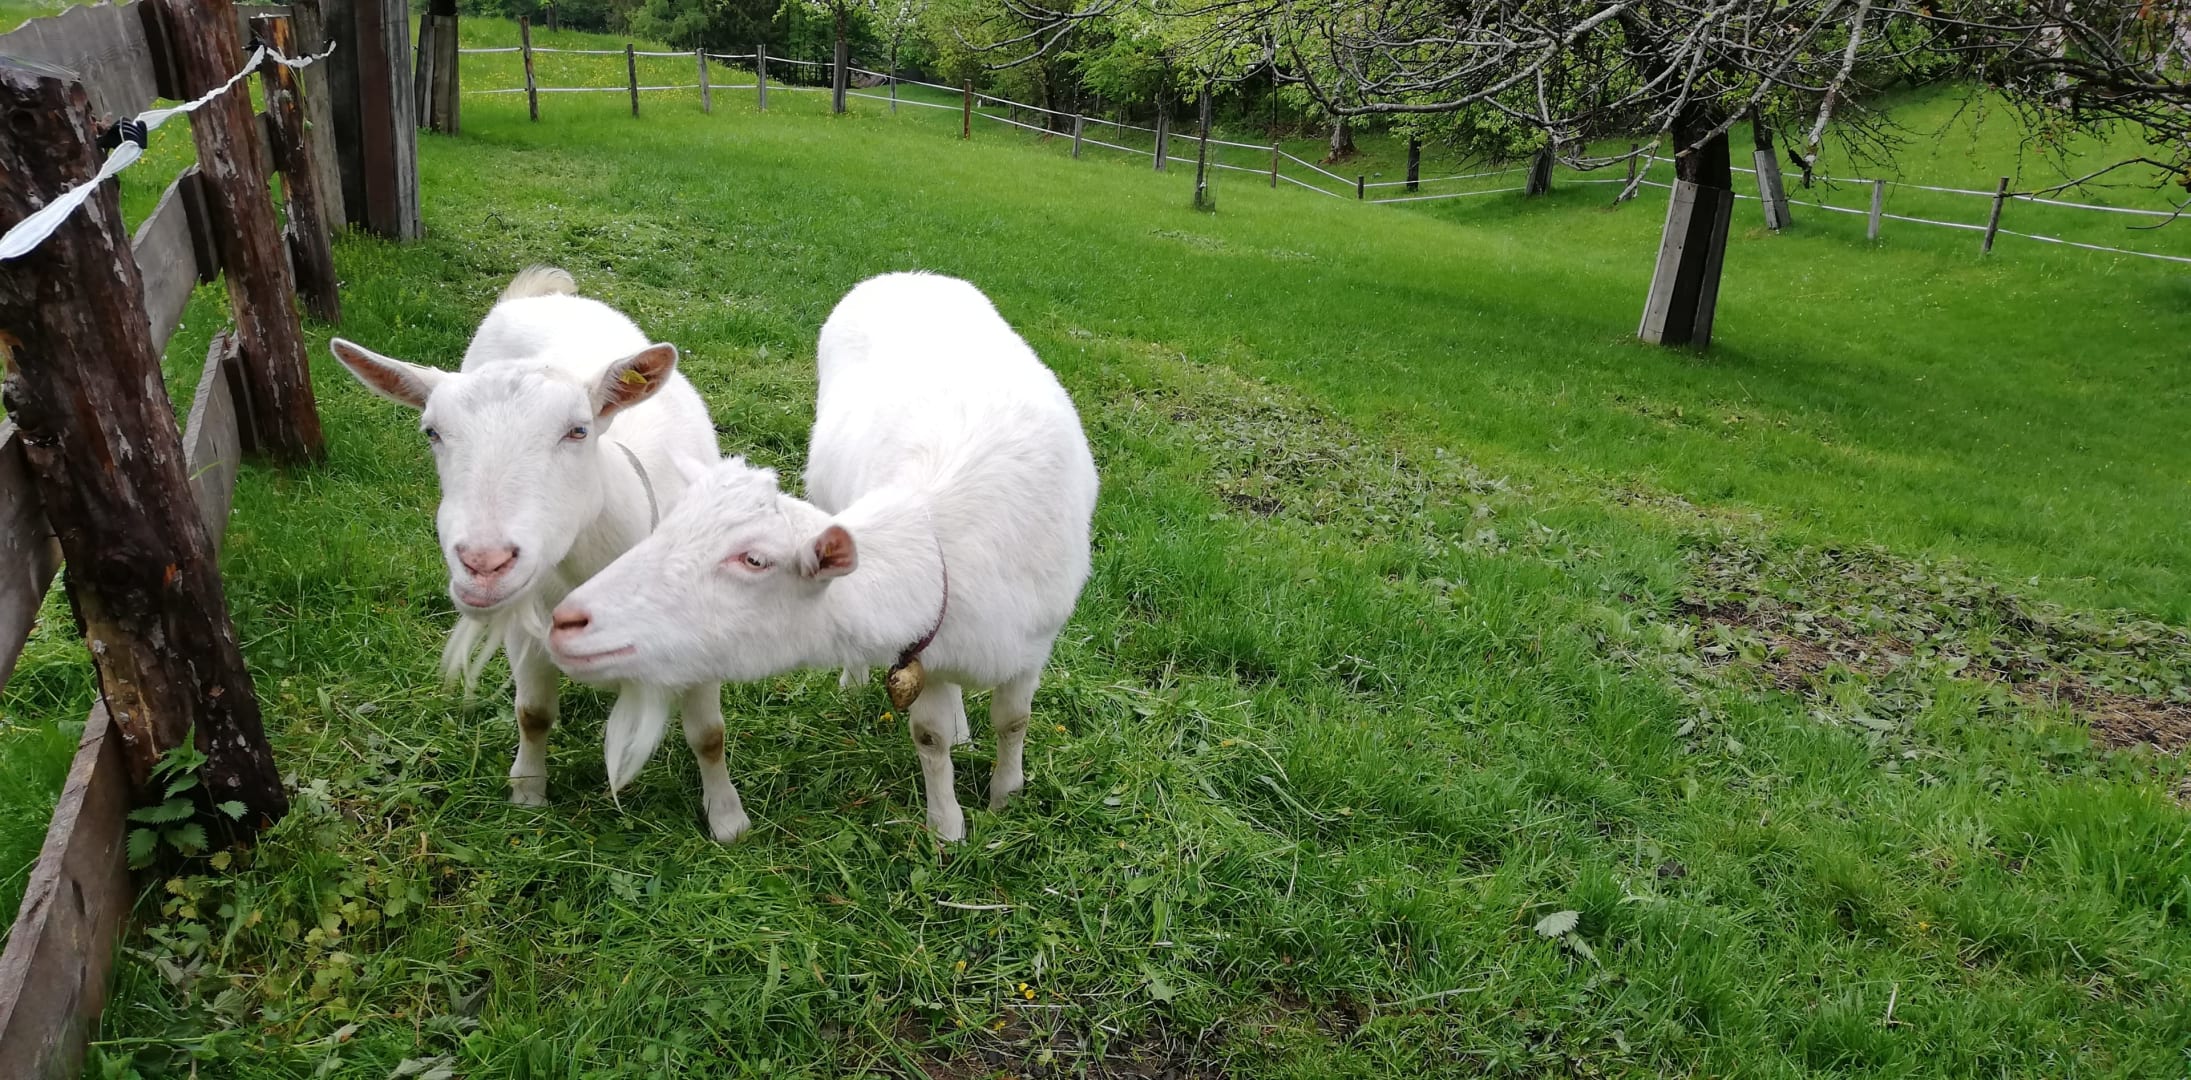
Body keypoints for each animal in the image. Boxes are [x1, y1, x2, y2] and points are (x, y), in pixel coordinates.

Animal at [328, 266, 751, 843]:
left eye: (578, 430)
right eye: (431, 431)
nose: (483, 564)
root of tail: (537, 294)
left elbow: (709, 733)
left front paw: (728, 820)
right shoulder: (527, 627)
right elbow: (532, 713)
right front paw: (527, 792)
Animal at [545, 272, 1099, 842]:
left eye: (755, 561)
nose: (567, 621)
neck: (939, 537)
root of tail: (903, 274)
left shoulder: (1028, 647)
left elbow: (1013, 722)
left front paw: (1005, 798)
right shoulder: (925, 646)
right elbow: (930, 736)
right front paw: (946, 826)